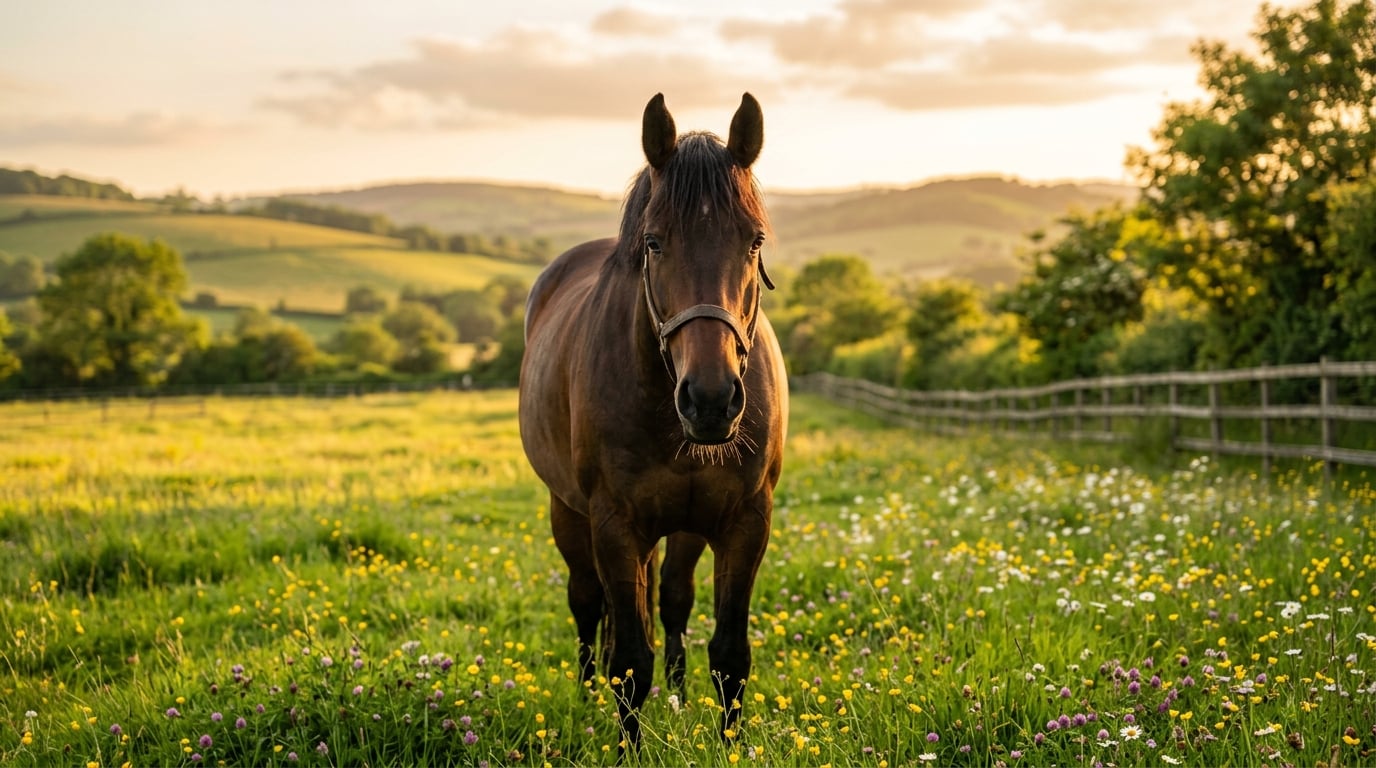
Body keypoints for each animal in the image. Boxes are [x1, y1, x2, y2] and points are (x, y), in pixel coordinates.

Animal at [518, 92, 788, 750]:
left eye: (754, 241)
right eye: (655, 242)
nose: (711, 399)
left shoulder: (745, 523)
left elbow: (729, 654)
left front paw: (728, 747)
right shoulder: (614, 524)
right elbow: (630, 662)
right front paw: (626, 747)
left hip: (684, 527)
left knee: (671, 600)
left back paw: (679, 694)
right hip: (568, 511)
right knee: (588, 603)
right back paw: (587, 695)